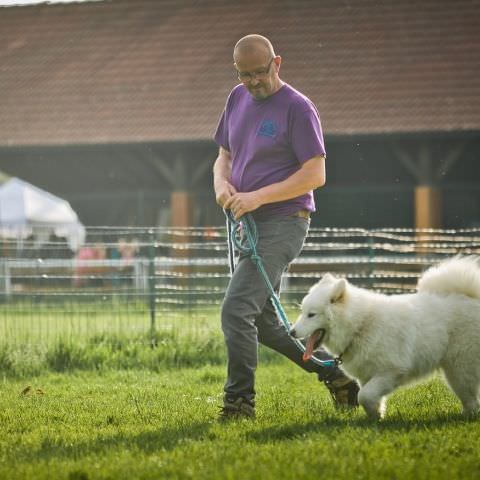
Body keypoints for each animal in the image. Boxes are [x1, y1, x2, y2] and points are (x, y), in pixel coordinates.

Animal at [290, 256, 480, 418]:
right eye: (302, 312)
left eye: (311, 315)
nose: (291, 332)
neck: (361, 324)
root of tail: (471, 298)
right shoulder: (366, 376)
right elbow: (368, 395)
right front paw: (376, 415)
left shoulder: (390, 371)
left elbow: (364, 395)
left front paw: (375, 415)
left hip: (460, 369)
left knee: (471, 399)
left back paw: (466, 416)